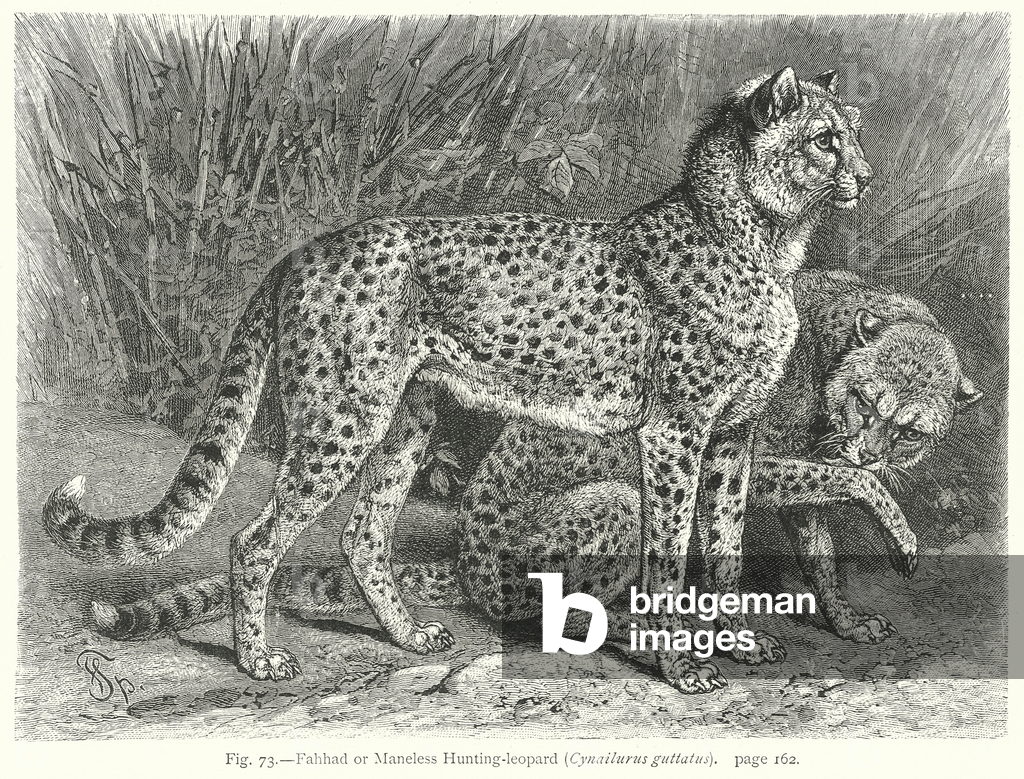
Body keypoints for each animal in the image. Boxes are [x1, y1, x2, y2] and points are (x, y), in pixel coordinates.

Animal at [43, 66, 885, 693]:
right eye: (824, 140)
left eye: (856, 131)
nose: (868, 177)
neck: (758, 236)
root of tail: (308, 248)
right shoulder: (675, 431)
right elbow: (671, 560)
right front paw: (679, 664)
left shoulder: (733, 436)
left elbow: (726, 548)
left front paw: (736, 643)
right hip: (343, 420)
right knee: (255, 539)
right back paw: (259, 660)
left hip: (405, 419)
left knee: (362, 532)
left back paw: (409, 635)